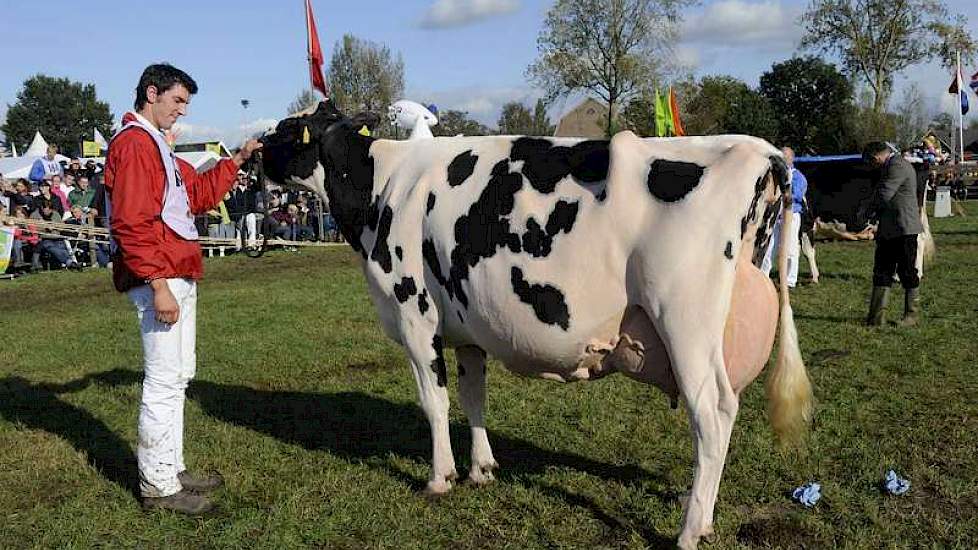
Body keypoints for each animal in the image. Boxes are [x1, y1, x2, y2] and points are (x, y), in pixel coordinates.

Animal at [258, 100, 808, 550]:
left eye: (285, 130)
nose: (254, 154)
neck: (380, 185)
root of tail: (757, 149)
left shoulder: (414, 314)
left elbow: (434, 402)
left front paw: (440, 478)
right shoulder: (468, 325)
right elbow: (473, 396)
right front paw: (482, 469)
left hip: (685, 321)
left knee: (712, 414)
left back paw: (691, 529)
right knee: (727, 413)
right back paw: (704, 514)